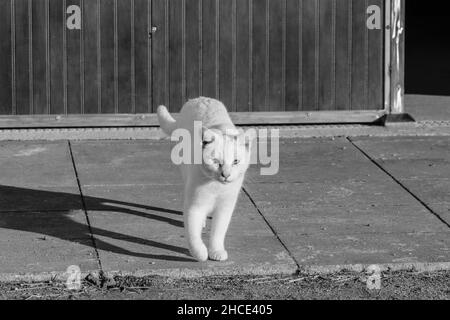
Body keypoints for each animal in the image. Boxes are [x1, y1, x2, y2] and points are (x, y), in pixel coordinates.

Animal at [156, 97, 251, 262]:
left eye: (235, 162)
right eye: (216, 161)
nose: (226, 175)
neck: (216, 187)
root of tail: (199, 99)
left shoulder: (224, 208)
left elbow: (218, 232)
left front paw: (216, 251)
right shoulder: (194, 206)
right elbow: (193, 234)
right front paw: (200, 253)